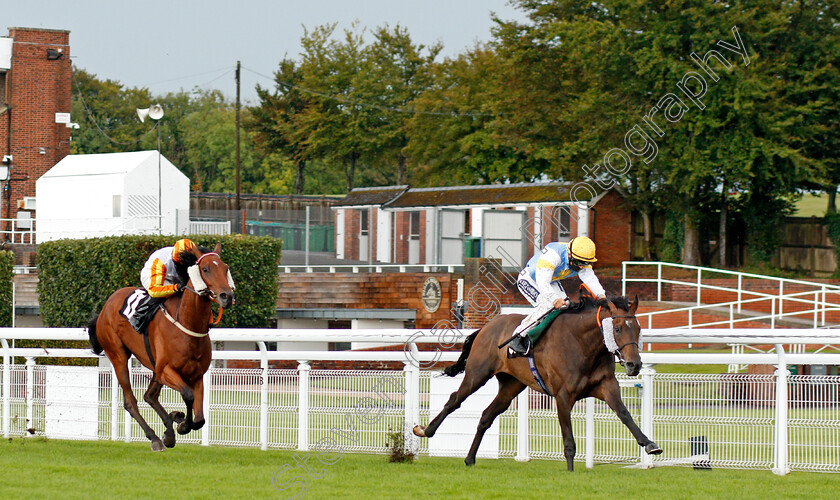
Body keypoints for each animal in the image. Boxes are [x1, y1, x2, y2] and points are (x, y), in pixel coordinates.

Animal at [88, 244, 235, 452]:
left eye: (225, 268)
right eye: (205, 269)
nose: (227, 296)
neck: (187, 324)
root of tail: (106, 305)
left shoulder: (196, 374)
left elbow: (200, 419)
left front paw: (178, 422)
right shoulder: (167, 370)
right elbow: (188, 395)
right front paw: (182, 425)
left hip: (153, 367)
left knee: (150, 396)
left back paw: (169, 429)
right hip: (118, 356)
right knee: (131, 402)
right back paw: (156, 438)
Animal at [414, 292, 664, 468]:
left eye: (638, 328)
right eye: (618, 328)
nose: (634, 364)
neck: (584, 344)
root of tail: (486, 326)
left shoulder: (606, 385)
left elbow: (624, 414)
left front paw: (650, 444)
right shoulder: (563, 395)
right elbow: (569, 439)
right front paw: (571, 471)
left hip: (511, 385)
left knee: (486, 416)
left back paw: (469, 459)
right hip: (477, 374)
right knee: (454, 399)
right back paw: (426, 430)